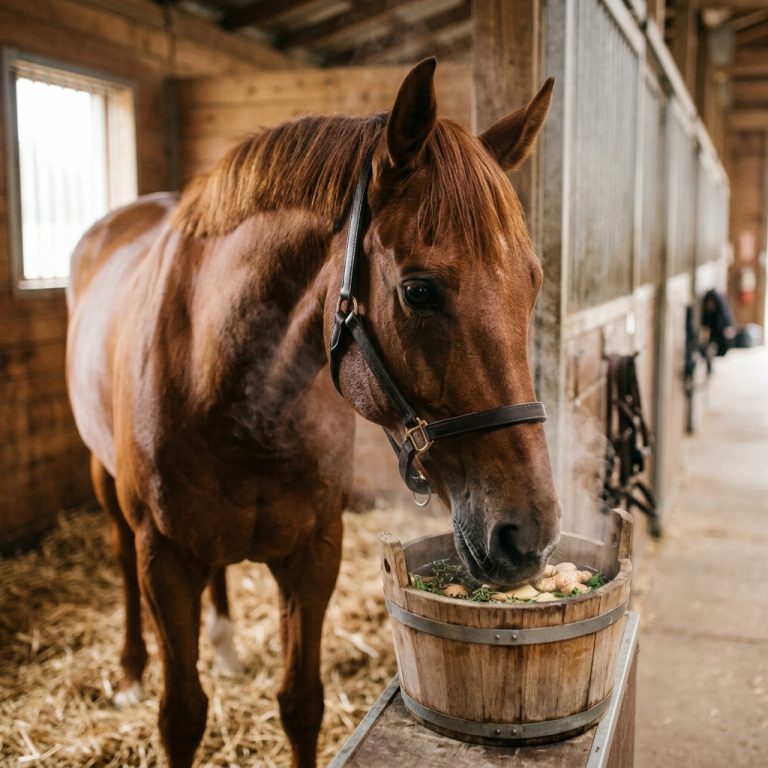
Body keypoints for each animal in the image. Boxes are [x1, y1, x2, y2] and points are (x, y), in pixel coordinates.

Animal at [65, 58, 560, 768]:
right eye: (418, 291)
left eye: (533, 281)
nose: (530, 535)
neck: (228, 386)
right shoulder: (165, 561)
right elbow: (181, 716)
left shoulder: (314, 554)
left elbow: (301, 703)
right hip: (105, 484)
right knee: (119, 558)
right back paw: (131, 668)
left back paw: (225, 644)